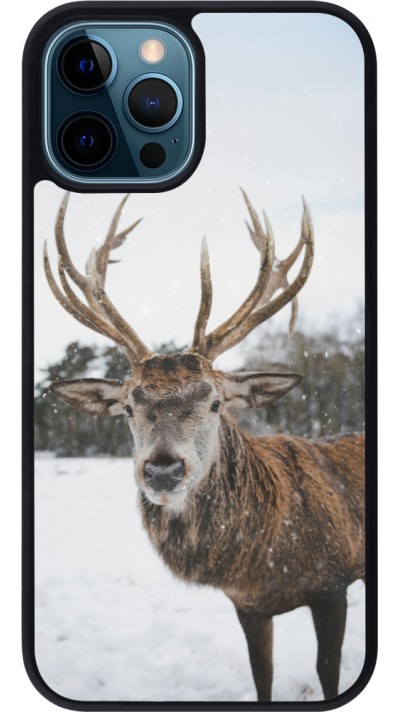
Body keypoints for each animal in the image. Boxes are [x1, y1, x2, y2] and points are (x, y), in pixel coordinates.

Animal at [43, 191, 365, 702]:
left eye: (215, 402)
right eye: (129, 406)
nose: (162, 469)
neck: (265, 559)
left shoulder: (333, 583)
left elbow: (327, 672)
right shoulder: (248, 605)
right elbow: (262, 675)